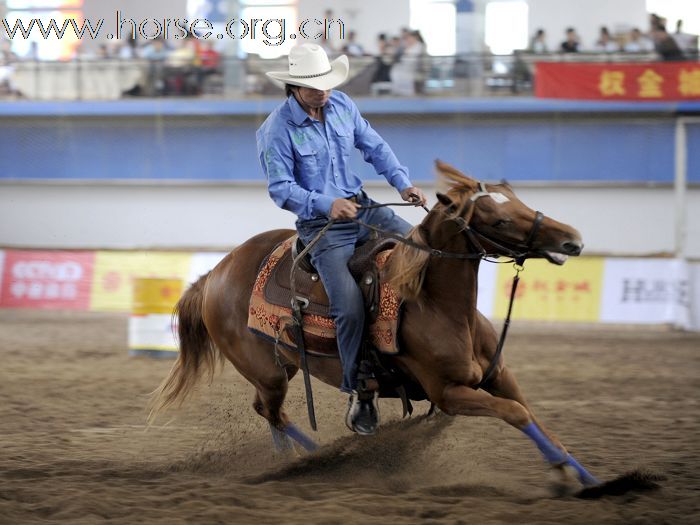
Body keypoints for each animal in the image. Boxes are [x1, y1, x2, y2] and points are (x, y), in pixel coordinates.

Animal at [150, 160, 600, 488]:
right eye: (499, 221)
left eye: (518, 200)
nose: (572, 240)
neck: (437, 305)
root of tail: (214, 273)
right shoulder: (449, 394)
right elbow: (516, 414)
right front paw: (563, 473)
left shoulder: (498, 375)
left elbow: (531, 414)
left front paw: (585, 477)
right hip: (268, 373)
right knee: (272, 412)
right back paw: (314, 458)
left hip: (283, 365)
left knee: (267, 412)